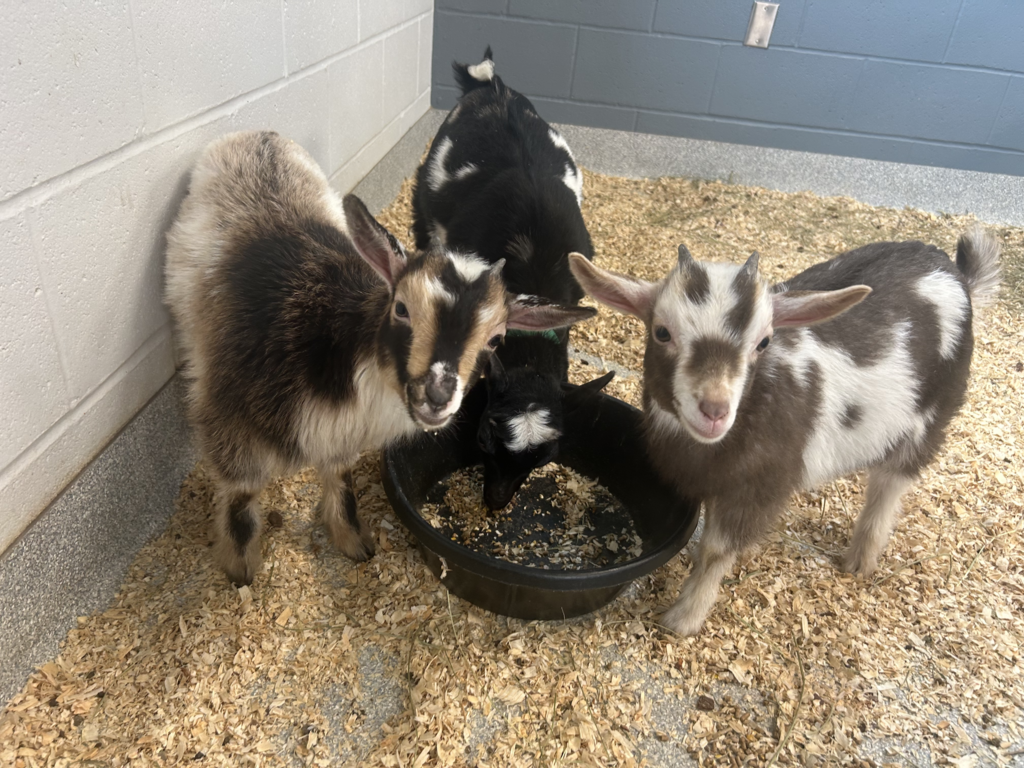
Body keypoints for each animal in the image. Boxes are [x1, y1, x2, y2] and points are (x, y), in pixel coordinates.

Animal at [165, 130, 595, 585]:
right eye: (401, 308)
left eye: (496, 339)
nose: (437, 396)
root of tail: (258, 135)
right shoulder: (229, 421)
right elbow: (243, 492)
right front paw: (241, 568)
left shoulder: (339, 436)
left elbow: (340, 477)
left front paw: (353, 540)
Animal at [569, 229, 1000, 635]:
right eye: (662, 333)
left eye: (764, 342)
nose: (714, 410)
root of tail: (955, 273)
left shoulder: (760, 484)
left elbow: (716, 550)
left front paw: (684, 618)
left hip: (933, 413)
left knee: (891, 482)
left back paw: (860, 560)